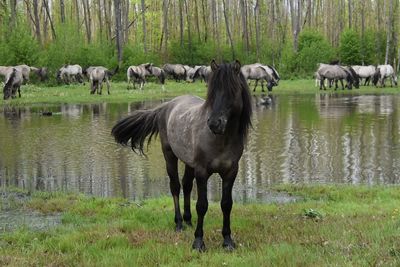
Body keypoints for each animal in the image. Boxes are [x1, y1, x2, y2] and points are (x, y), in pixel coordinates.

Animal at [111, 59, 252, 252]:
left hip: (189, 163)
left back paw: (188, 220)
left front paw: (227, 240)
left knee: (186, 185)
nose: (214, 123)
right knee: (176, 187)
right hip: (170, 156)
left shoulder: (231, 172)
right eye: (212, 91)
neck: (221, 139)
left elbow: (226, 204)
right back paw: (178, 223)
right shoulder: (202, 172)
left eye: (232, 91)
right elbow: (202, 205)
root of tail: (166, 106)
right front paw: (198, 242)